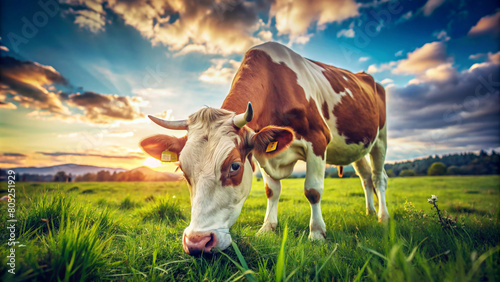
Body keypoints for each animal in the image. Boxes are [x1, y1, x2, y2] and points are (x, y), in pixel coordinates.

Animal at [139, 41, 388, 256]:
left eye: (235, 166)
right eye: (183, 169)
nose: (197, 243)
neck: (276, 86)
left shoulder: (318, 140)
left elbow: (313, 190)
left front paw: (317, 234)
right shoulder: (260, 154)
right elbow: (272, 191)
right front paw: (267, 228)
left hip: (380, 139)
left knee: (378, 178)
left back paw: (382, 217)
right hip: (356, 146)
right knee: (365, 177)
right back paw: (369, 211)